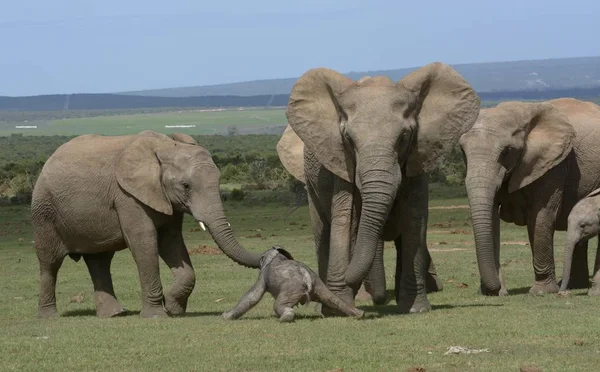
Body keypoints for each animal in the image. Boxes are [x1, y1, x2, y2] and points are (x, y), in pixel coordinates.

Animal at [30, 130, 260, 316]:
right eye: (186, 186)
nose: (269, 254)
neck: (165, 147)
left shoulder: (166, 199)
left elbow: (171, 242)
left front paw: (173, 308)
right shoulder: (127, 196)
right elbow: (144, 241)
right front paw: (157, 314)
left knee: (99, 260)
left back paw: (114, 314)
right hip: (44, 211)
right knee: (50, 263)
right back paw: (49, 317)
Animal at [221, 246, 366, 322]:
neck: (278, 256)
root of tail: (307, 279)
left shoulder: (263, 275)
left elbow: (253, 296)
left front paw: (225, 316)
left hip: (291, 290)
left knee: (278, 305)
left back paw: (285, 317)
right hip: (318, 284)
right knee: (332, 299)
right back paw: (359, 314)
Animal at [276, 62, 478, 312]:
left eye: (404, 136)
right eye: (348, 139)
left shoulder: (419, 157)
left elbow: (414, 220)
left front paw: (416, 308)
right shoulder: (340, 164)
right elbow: (346, 219)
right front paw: (340, 307)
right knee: (323, 232)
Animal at [462, 98, 600, 296]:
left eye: (507, 151)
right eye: (462, 151)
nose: (492, 289)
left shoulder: (554, 165)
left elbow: (541, 214)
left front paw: (541, 292)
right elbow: (491, 219)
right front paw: (495, 293)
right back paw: (575, 286)